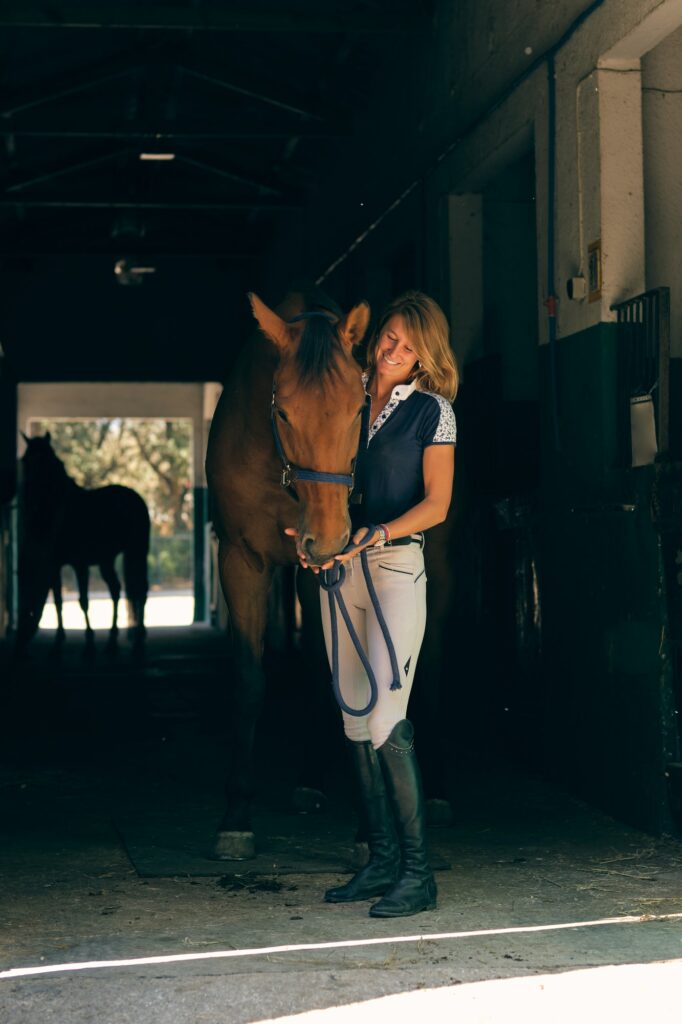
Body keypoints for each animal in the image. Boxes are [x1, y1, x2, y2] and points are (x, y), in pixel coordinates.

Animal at [205, 288, 368, 856]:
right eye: (283, 411)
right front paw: (235, 815)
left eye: (360, 407)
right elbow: (249, 682)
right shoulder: (241, 560)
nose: (329, 537)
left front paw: (366, 823)